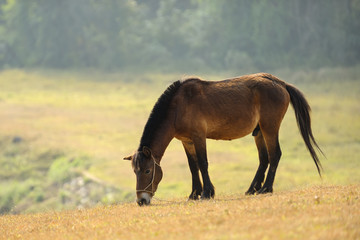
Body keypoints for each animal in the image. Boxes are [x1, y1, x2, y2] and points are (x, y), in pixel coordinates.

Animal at [124, 73, 324, 206]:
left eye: (148, 171)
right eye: (134, 171)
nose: (141, 200)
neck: (178, 106)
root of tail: (280, 83)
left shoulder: (198, 136)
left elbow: (202, 163)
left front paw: (207, 192)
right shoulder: (186, 141)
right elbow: (193, 166)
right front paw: (194, 193)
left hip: (270, 128)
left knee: (275, 155)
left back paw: (266, 188)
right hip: (259, 132)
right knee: (264, 159)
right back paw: (252, 189)